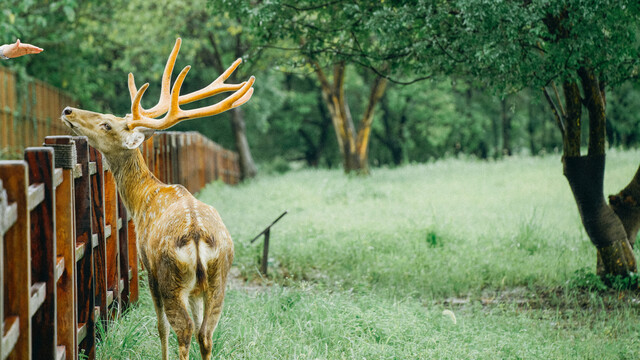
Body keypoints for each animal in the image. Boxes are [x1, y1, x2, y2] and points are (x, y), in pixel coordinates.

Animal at [60, 38, 254, 358]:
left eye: (107, 125)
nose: (67, 111)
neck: (141, 200)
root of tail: (197, 237)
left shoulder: (146, 264)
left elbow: (160, 327)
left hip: (170, 276)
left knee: (183, 330)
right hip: (217, 280)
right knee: (206, 333)